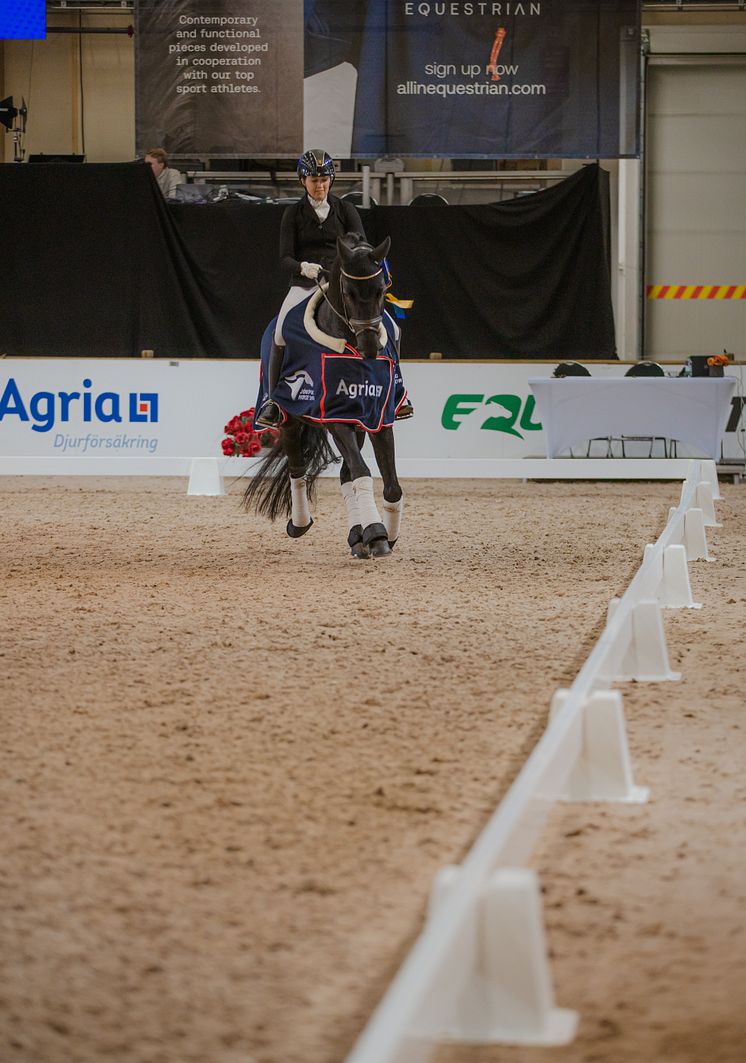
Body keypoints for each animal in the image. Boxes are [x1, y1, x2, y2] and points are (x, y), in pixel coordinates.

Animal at [244, 233, 408, 561]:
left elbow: (391, 484)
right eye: (347, 292)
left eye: (382, 290)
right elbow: (362, 471)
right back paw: (301, 524)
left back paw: (356, 537)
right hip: (291, 420)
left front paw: (386, 535)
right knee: (298, 468)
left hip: (357, 424)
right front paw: (377, 533)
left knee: (345, 475)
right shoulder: (335, 417)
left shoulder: (378, 418)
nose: (370, 347)